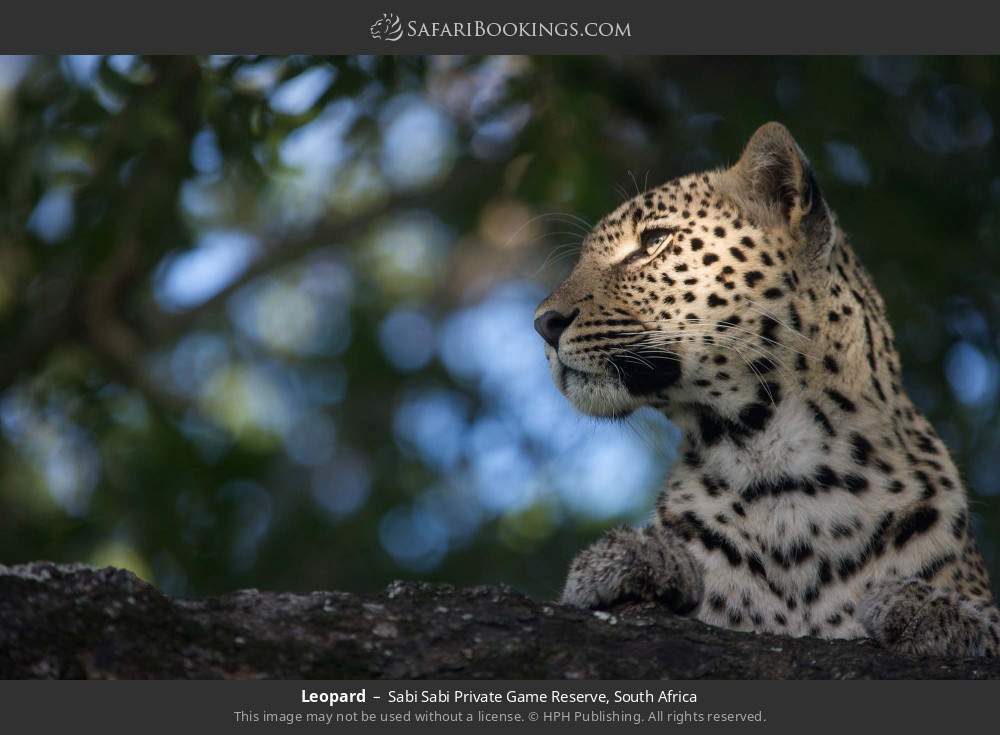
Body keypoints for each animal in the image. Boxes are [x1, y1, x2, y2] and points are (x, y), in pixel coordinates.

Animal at [534, 122, 1000, 657]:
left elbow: (985, 620)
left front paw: (927, 608)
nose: (542, 324)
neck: (776, 468)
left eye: (654, 241)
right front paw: (629, 559)